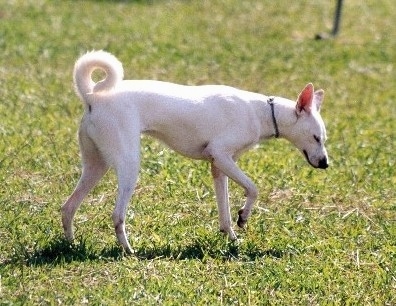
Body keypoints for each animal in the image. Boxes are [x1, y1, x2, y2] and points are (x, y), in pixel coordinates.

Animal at [61, 52, 328, 253]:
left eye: (324, 139)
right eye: (316, 137)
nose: (325, 164)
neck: (262, 112)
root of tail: (92, 97)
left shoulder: (219, 166)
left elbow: (224, 211)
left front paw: (231, 237)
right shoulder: (221, 155)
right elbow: (253, 189)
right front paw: (243, 217)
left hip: (96, 166)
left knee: (68, 207)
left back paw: (71, 245)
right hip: (128, 165)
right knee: (117, 215)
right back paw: (129, 251)